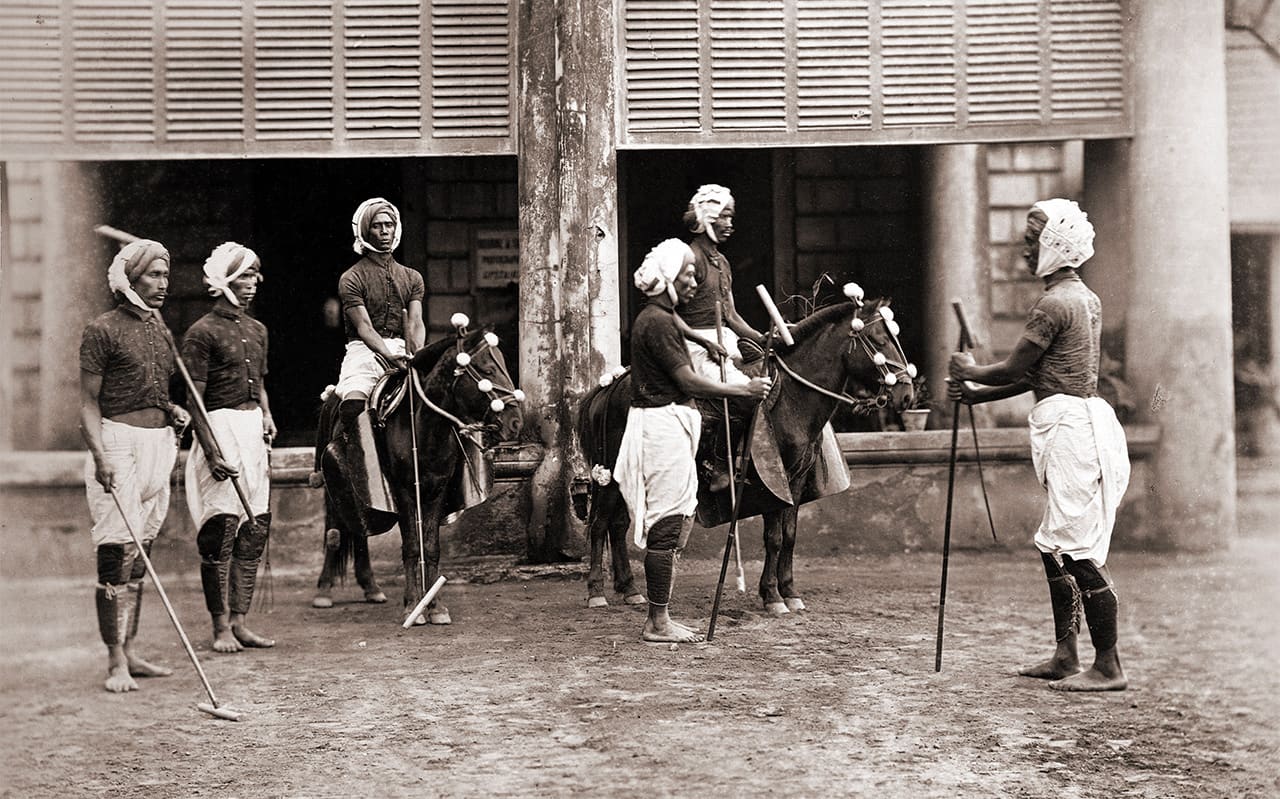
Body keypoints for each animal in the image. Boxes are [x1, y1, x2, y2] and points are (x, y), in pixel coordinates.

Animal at [312, 325, 522, 624]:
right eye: (488, 370)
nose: (516, 422)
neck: (425, 427)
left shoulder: (437, 489)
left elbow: (430, 547)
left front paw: (435, 606)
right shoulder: (404, 490)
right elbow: (412, 546)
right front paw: (413, 605)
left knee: (359, 533)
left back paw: (371, 587)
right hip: (333, 487)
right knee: (335, 530)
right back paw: (324, 589)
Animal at [576, 297, 916, 614]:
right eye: (880, 339)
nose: (907, 395)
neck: (793, 396)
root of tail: (612, 385)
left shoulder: (797, 478)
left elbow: (789, 535)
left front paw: (789, 591)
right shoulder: (778, 478)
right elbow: (774, 537)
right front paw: (773, 596)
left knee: (618, 525)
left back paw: (629, 588)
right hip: (609, 473)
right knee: (600, 524)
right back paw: (595, 592)